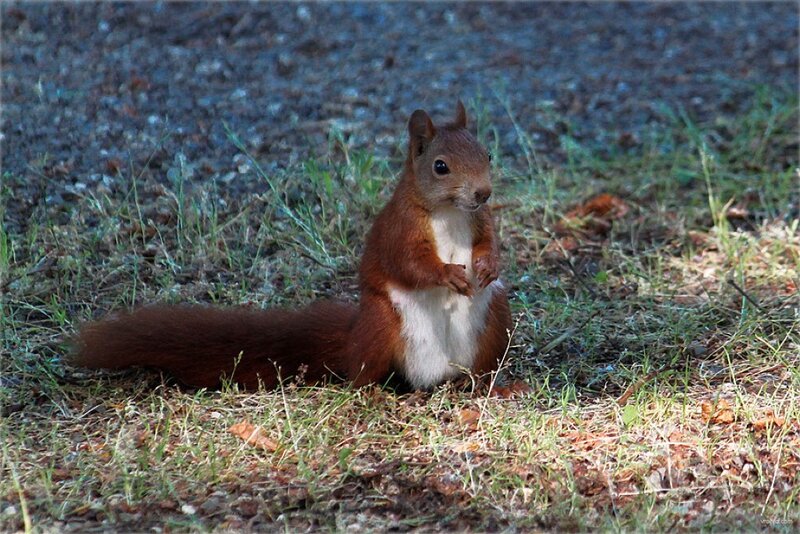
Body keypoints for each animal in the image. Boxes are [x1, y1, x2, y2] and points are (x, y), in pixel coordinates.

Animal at [72, 101, 513, 391]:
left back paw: (501, 387)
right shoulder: (400, 228)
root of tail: (438, 374)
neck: (449, 212)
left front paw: (488, 264)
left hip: (494, 319)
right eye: (440, 167)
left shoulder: (479, 220)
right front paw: (448, 274)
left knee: (482, 372)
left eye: (488, 153)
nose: (483, 193)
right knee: (362, 374)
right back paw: (375, 395)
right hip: (383, 325)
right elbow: (409, 263)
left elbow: (488, 240)